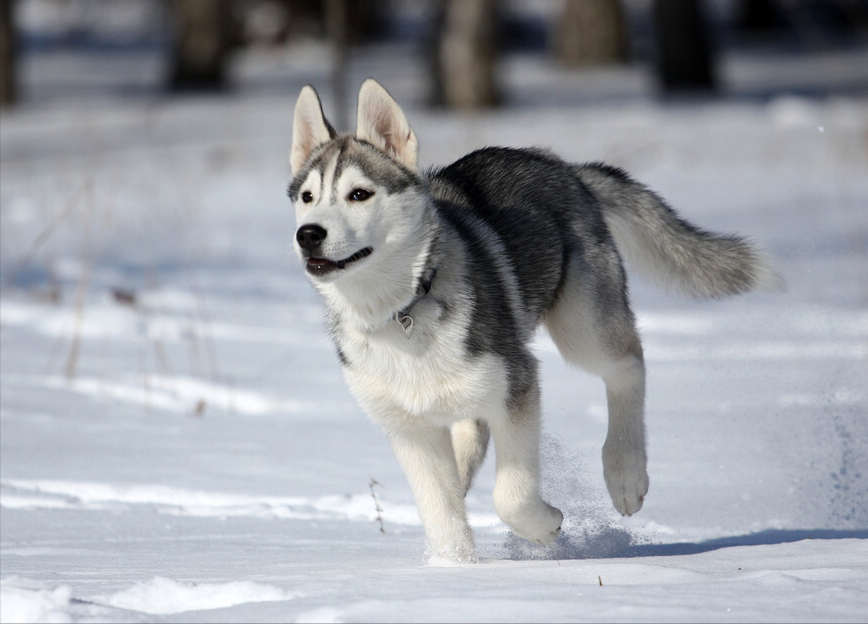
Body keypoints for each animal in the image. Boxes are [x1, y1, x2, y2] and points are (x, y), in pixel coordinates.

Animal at [288, 79, 784, 564]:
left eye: (359, 194)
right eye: (307, 197)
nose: (308, 234)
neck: (402, 310)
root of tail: (560, 165)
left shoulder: (518, 385)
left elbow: (511, 497)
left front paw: (546, 528)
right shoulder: (409, 428)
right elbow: (441, 510)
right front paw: (452, 567)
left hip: (582, 327)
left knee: (628, 364)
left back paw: (625, 472)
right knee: (469, 440)